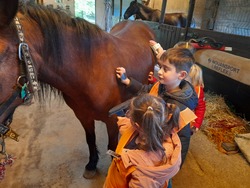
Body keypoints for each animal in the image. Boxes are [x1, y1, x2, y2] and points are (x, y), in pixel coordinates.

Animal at [0, 0, 155, 178]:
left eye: (1, 54)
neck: (90, 70)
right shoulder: (83, 116)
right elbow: (90, 139)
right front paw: (92, 164)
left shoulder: (112, 121)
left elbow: (112, 145)